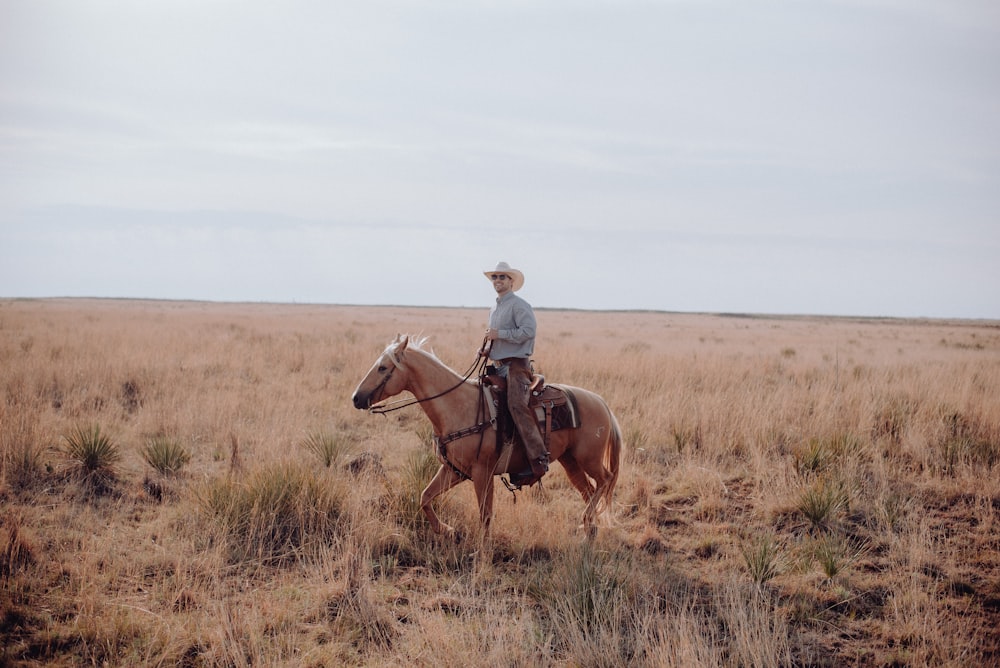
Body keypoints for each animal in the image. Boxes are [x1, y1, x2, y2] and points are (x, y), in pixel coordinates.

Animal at [350, 334, 616, 536]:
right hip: (570, 461)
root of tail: (602, 403)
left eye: (383, 367)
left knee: (605, 480)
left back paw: (587, 520)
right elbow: (425, 497)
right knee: (589, 490)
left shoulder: (482, 472)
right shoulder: (454, 470)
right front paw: (447, 531)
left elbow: (485, 515)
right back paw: (588, 526)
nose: (356, 398)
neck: (457, 407)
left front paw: (481, 553)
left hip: (589, 458)